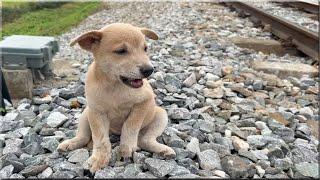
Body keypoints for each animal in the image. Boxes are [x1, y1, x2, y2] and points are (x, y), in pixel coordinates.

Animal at [57, 23, 175, 172]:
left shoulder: (144, 102)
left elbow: (130, 125)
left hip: (160, 115)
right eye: (121, 51)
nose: (149, 70)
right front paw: (99, 158)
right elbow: (100, 138)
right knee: (83, 136)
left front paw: (126, 147)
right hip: (85, 114)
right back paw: (69, 143)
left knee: (144, 140)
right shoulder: (96, 112)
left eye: (145, 49)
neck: (114, 86)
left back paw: (163, 150)